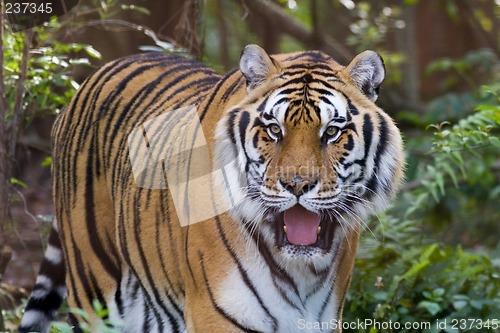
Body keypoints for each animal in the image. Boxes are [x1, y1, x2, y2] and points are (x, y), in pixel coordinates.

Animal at [17, 44, 404, 332]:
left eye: (332, 132)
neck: (301, 272)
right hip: (93, 294)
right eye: (274, 130)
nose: (297, 185)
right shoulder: (218, 314)